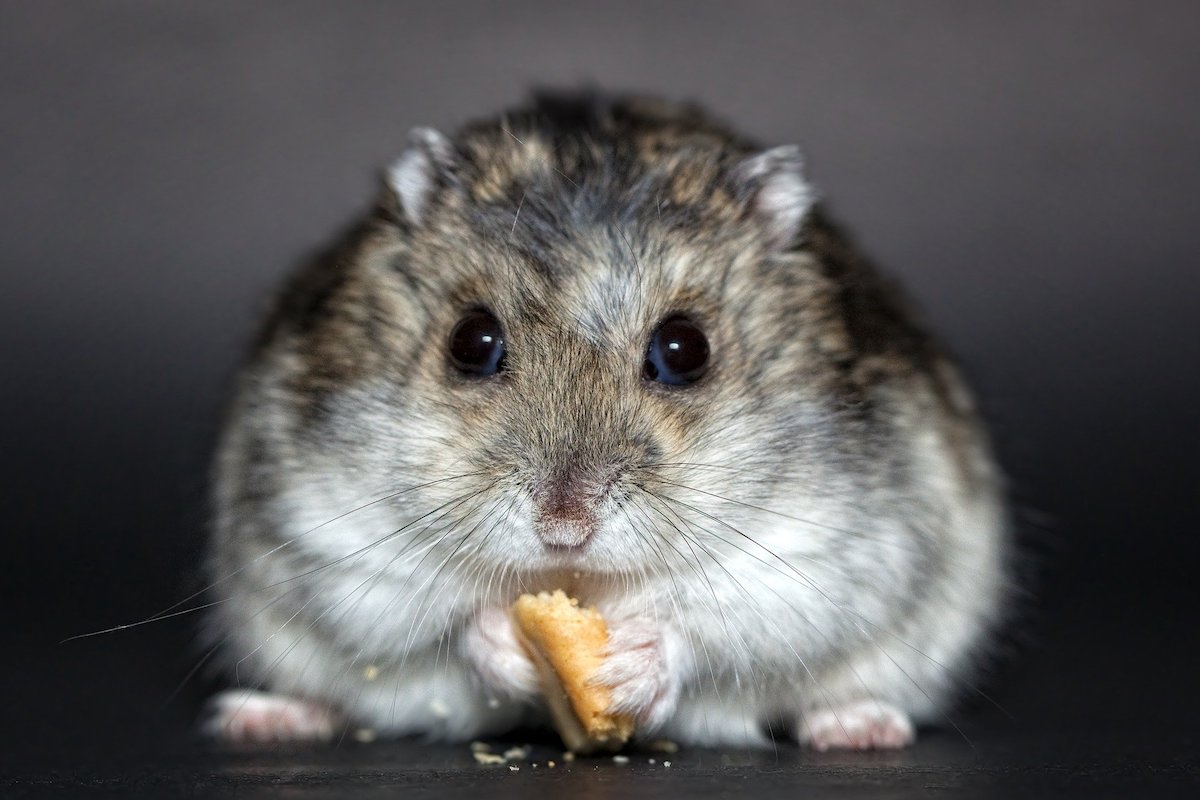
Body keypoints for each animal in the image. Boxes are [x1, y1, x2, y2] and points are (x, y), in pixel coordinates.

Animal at [202, 92, 1008, 750]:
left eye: (685, 350)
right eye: (471, 341)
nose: (564, 528)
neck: (578, 581)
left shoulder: (824, 553)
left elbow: (715, 625)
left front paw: (629, 667)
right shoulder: (333, 535)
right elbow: (437, 617)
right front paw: (504, 641)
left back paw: (859, 727)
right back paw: (263, 717)